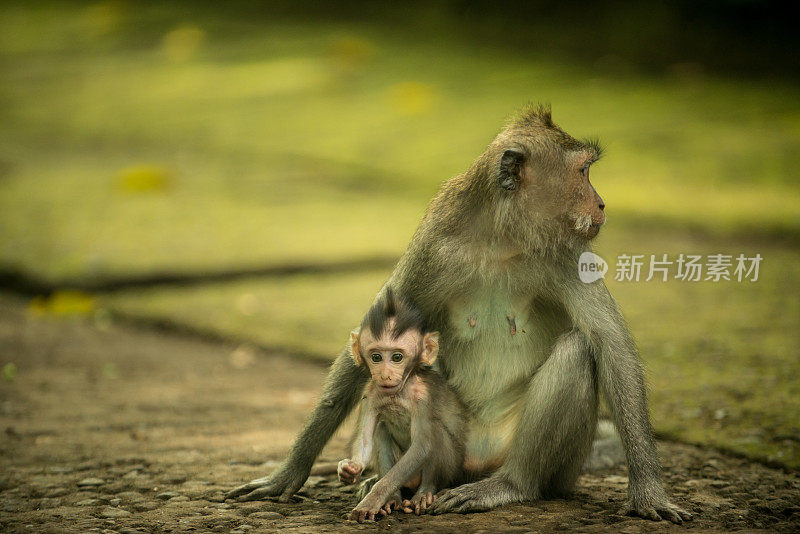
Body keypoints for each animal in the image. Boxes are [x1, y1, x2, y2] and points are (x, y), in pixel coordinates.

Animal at [336, 288, 462, 524]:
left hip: (448, 469)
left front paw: (373, 498)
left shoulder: (423, 398)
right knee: (381, 429)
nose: (385, 375)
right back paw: (393, 498)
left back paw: (424, 493)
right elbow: (365, 440)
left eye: (396, 357)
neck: (398, 392)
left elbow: (422, 446)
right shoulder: (370, 393)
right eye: (376, 357)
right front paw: (350, 469)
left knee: (435, 433)